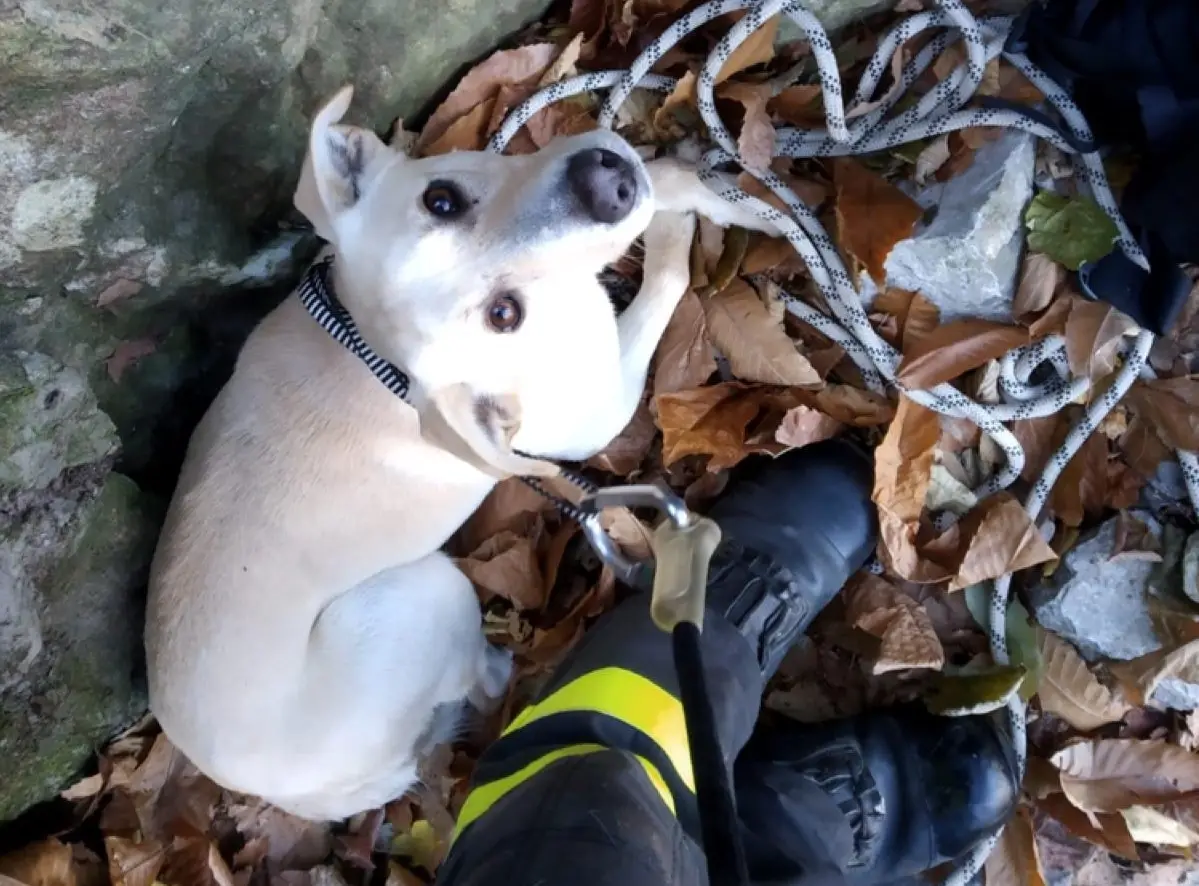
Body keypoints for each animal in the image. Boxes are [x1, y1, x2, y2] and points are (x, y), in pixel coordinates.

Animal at [142, 86, 776, 820]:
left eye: (441, 199)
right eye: (504, 314)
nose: (607, 184)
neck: (371, 353)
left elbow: (665, 187)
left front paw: (690, 184)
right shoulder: (600, 402)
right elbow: (664, 282)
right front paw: (678, 226)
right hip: (430, 597)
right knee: (476, 677)